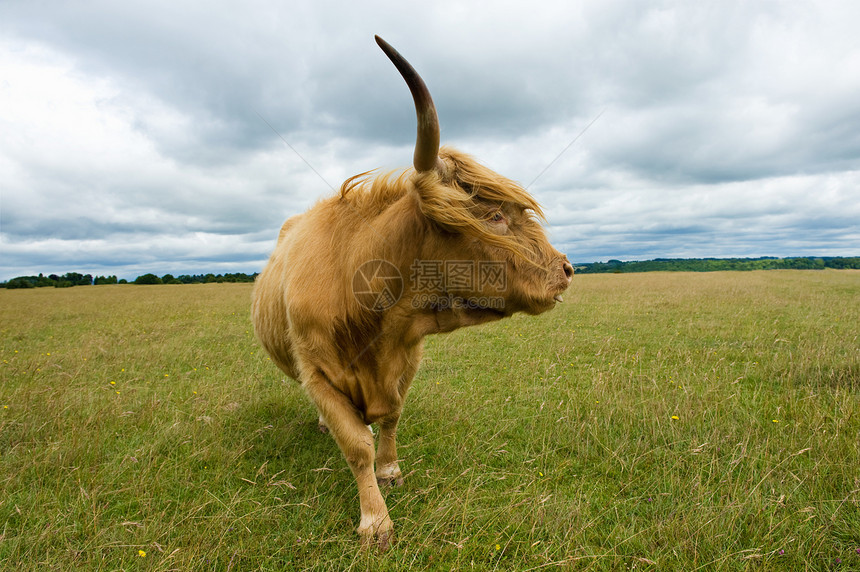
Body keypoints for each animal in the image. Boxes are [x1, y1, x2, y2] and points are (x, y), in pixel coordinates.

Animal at [250, 36, 572, 548]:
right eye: (494, 216)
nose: (565, 269)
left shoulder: (408, 358)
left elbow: (392, 417)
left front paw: (390, 470)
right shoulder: (315, 371)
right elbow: (355, 444)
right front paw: (375, 521)